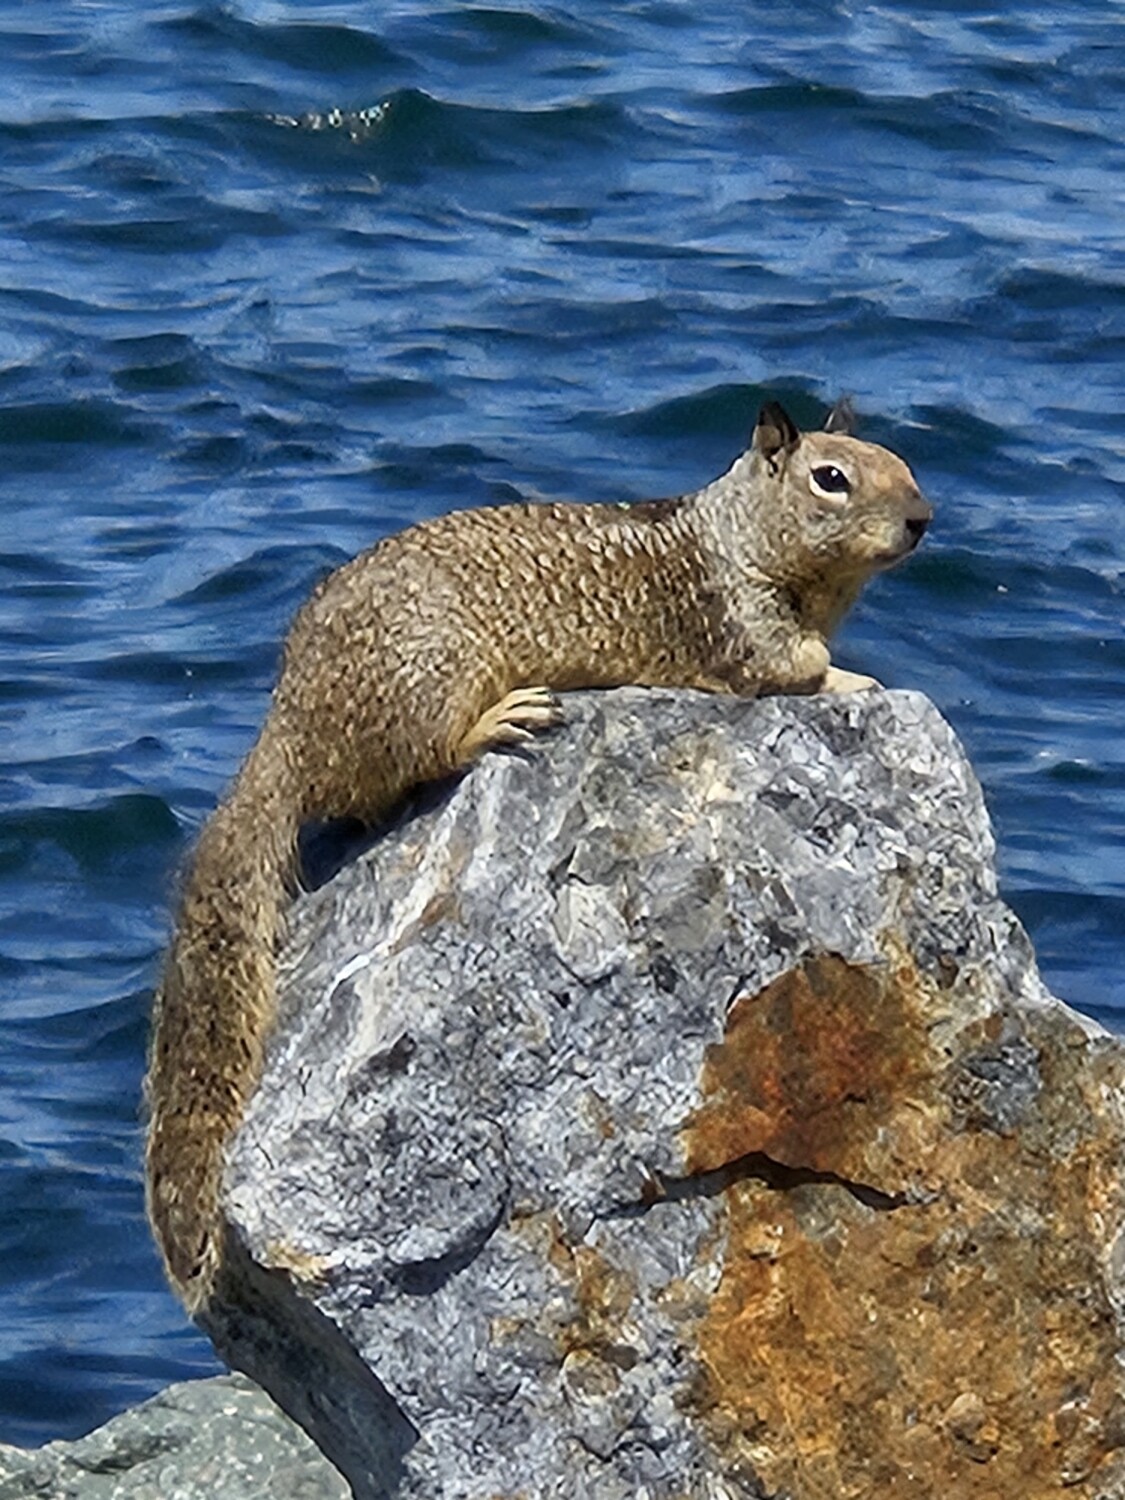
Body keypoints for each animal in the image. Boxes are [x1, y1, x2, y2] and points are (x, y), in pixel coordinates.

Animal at [145, 399, 931, 1313]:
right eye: (830, 478)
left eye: (901, 460)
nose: (922, 519)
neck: (728, 532)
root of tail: (288, 727)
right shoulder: (744, 630)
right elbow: (795, 671)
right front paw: (853, 681)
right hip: (429, 681)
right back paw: (499, 720)